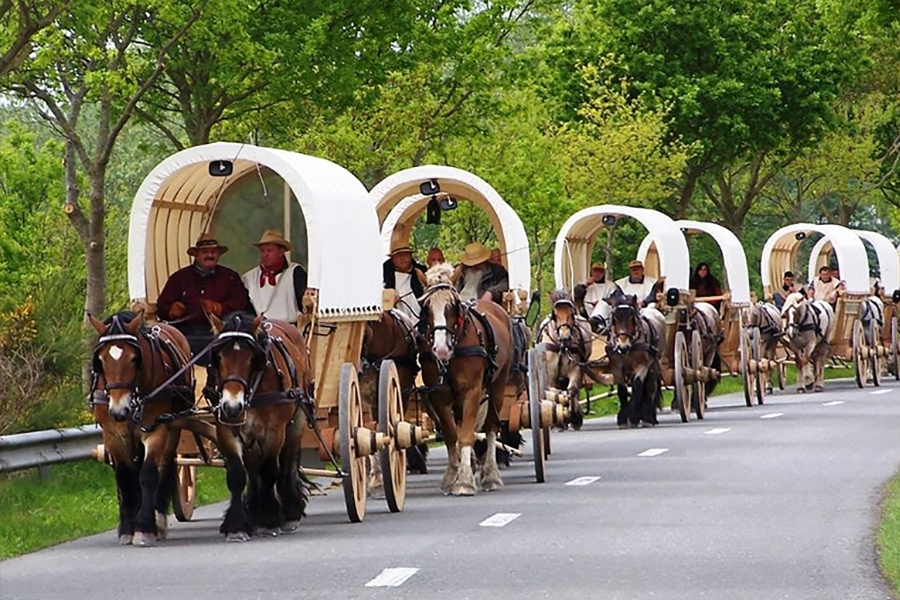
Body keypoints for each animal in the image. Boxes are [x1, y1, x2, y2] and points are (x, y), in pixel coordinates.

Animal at [89, 312, 198, 548]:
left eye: (134, 358)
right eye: (101, 360)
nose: (119, 409)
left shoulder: (156, 429)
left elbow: (148, 475)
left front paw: (146, 527)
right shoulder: (113, 435)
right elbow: (125, 477)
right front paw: (127, 529)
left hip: (173, 428)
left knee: (163, 467)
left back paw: (158, 520)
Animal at [207, 312, 312, 540]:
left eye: (251, 358)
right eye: (218, 357)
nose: (232, 405)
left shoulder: (274, 431)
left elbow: (270, 470)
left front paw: (269, 519)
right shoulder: (226, 429)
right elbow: (237, 475)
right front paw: (237, 526)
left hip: (297, 420)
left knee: (288, 462)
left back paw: (289, 512)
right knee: (254, 469)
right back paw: (254, 512)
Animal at [416, 264, 510, 494]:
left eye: (453, 305)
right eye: (425, 307)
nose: (441, 349)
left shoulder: (472, 391)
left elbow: (467, 434)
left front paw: (464, 480)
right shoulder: (438, 394)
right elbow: (452, 434)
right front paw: (453, 475)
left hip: (498, 386)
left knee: (491, 426)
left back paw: (491, 474)